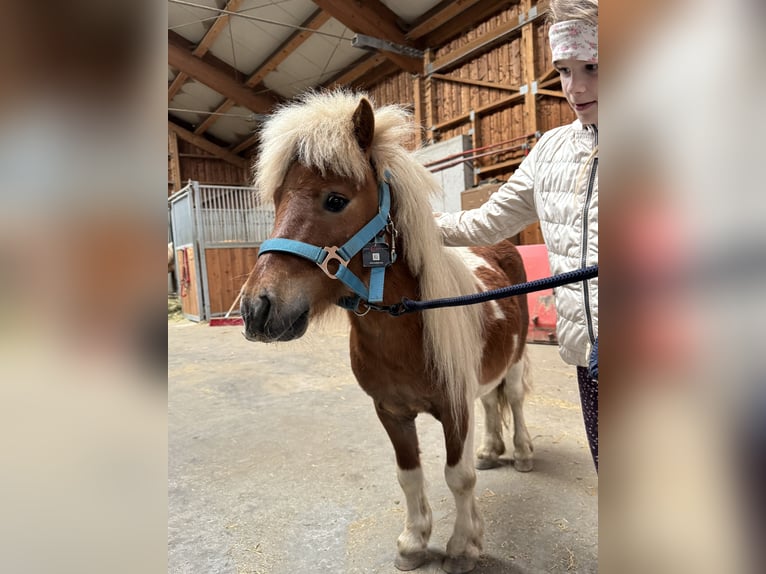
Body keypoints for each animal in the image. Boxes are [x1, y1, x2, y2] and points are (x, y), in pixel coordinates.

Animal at [240, 91, 533, 574]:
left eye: (335, 200)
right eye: (278, 199)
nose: (255, 309)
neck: (405, 329)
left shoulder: (455, 406)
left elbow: (458, 476)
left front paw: (462, 547)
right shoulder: (391, 411)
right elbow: (409, 475)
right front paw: (414, 542)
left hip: (516, 357)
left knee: (512, 398)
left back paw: (523, 453)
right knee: (492, 402)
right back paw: (492, 449)